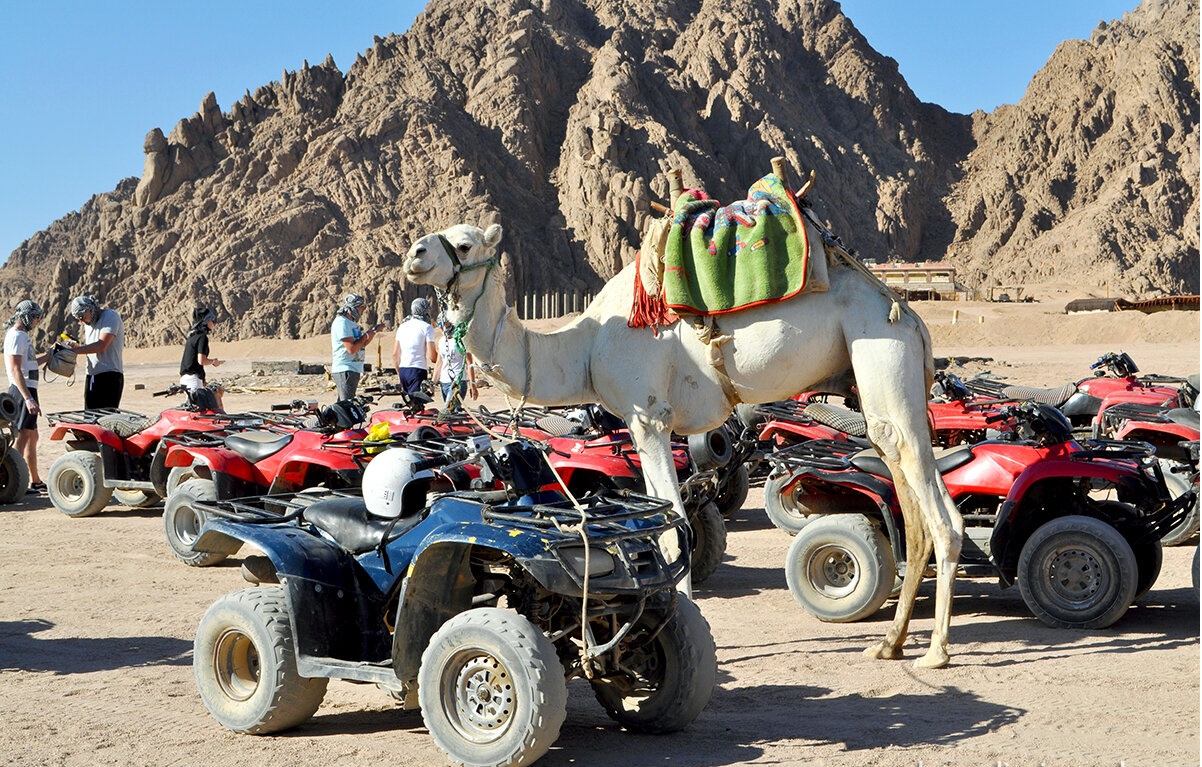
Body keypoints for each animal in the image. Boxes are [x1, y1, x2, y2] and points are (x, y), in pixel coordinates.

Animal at [402, 174, 963, 669]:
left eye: (465, 244)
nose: (414, 256)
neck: (584, 347)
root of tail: (909, 314)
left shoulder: (649, 414)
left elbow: (674, 529)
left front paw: (681, 627)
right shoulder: (643, 424)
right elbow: (663, 522)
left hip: (882, 352)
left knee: (939, 512)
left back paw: (935, 652)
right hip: (877, 379)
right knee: (908, 496)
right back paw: (890, 644)